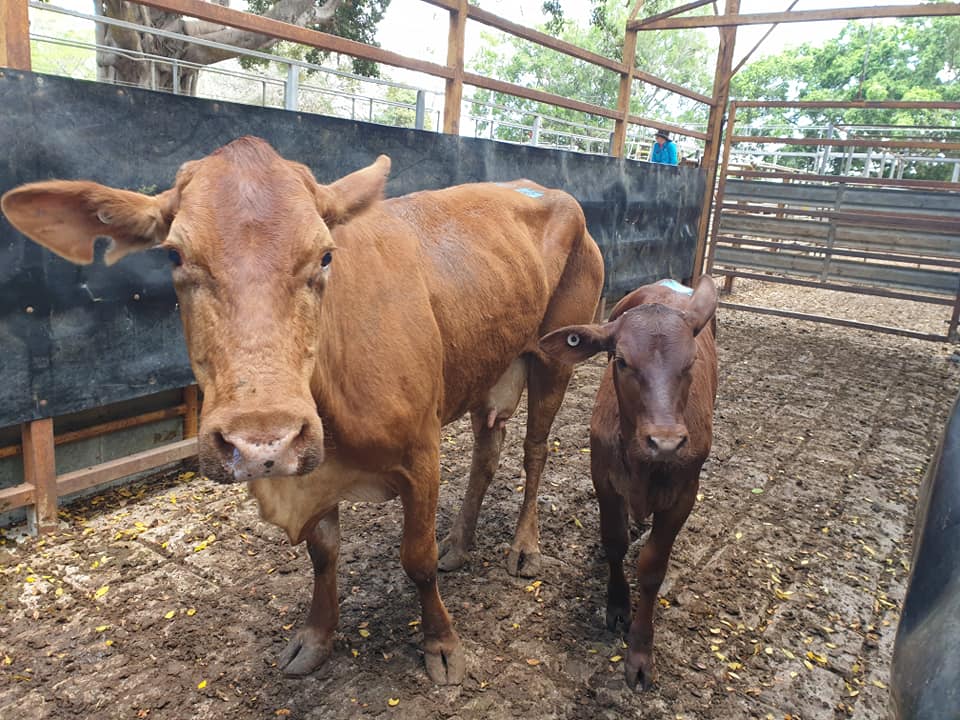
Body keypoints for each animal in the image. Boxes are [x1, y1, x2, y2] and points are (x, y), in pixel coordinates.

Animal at [1, 136, 605, 685]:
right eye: (175, 255)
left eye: (326, 254)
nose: (261, 442)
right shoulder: (314, 467)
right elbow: (323, 553)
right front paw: (316, 639)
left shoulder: (422, 450)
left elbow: (416, 557)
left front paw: (442, 644)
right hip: (489, 363)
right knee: (488, 448)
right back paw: (460, 543)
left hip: (555, 355)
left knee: (534, 449)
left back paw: (522, 547)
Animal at [539, 276, 718, 690]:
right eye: (621, 361)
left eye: (691, 362)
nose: (665, 441)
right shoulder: (603, 478)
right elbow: (615, 542)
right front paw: (618, 604)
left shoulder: (684, 494)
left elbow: (652, 569)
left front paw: (639, 650)